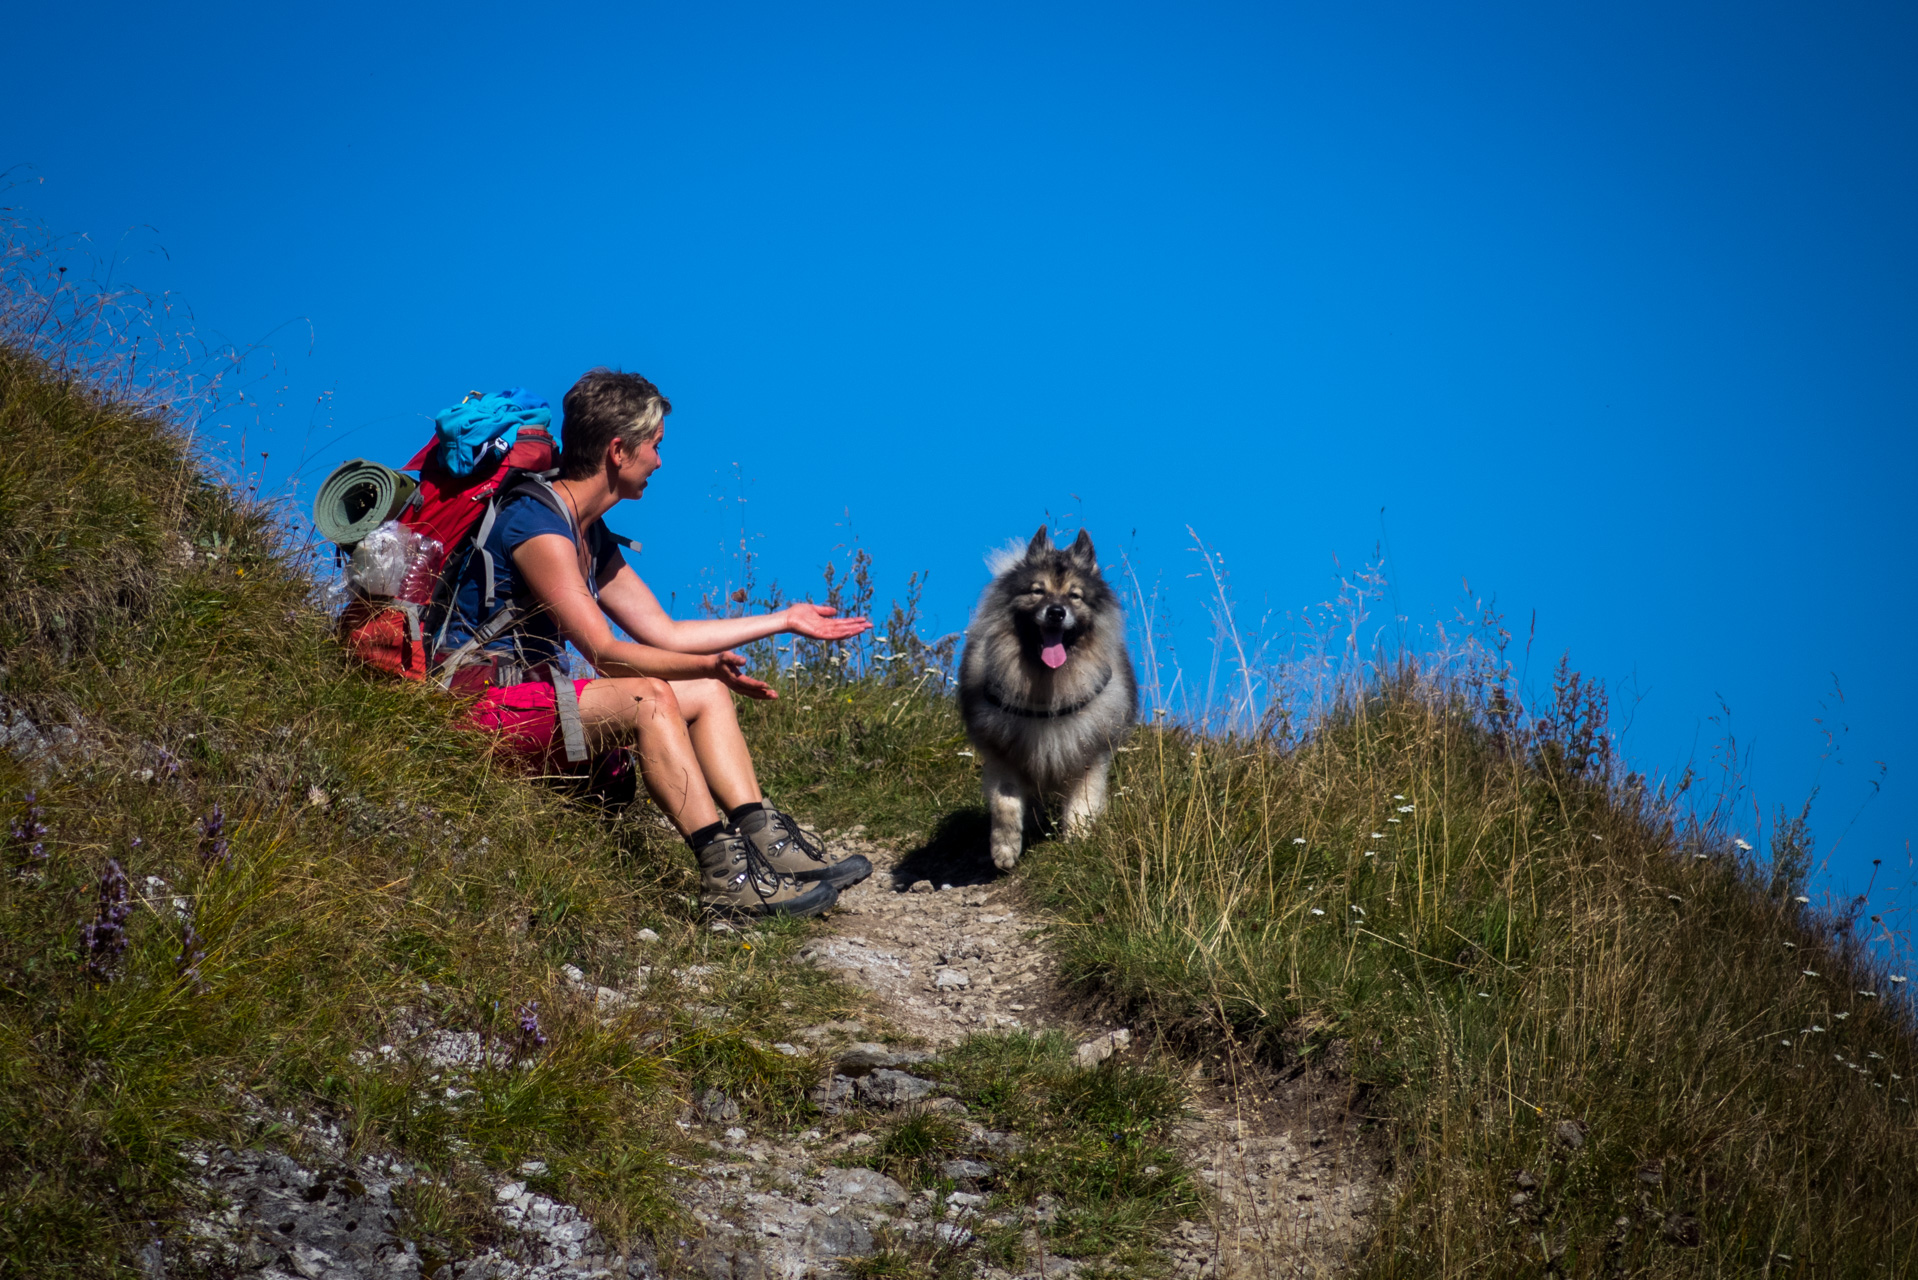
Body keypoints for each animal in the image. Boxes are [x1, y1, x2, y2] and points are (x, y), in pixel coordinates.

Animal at [959, 521, 1135, 871]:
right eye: (1037, 591)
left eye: (1074, 595)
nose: (1056, 612)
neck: (1047, 687)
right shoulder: (1004, 754)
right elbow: (1005, 802)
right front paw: (1005, 848)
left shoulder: (1089, 753)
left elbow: (1082, 804)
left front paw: (1078, 842)